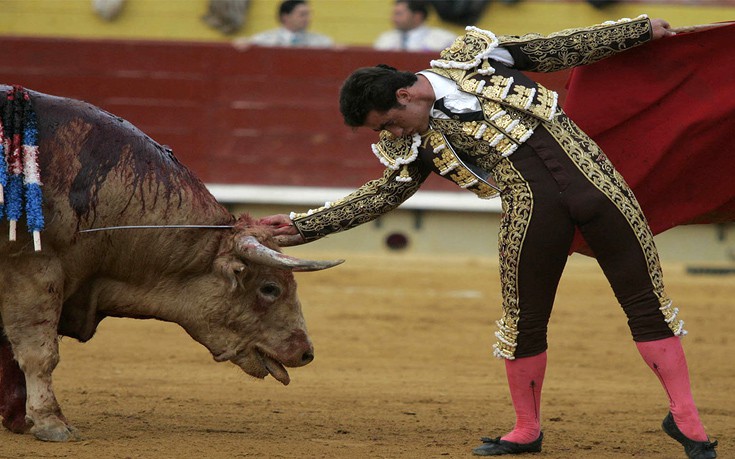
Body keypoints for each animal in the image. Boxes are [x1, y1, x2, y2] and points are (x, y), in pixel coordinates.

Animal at [0, 85, 342, 442]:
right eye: (270, 288)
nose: (306, 353)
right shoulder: (33, 267)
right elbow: (38, 350)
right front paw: (51, 422)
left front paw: (21, 420)